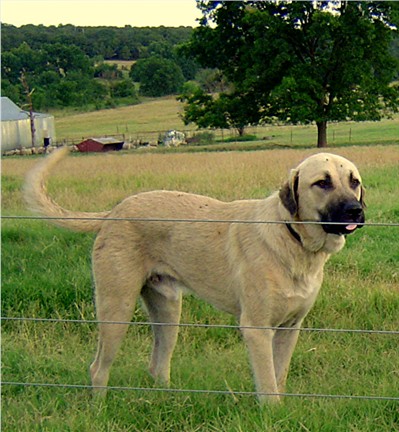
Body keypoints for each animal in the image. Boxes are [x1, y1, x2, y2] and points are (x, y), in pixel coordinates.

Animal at [23, 148, 366, 402]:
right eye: (322, 183)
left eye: (354, 181)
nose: (356, 211)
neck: (293, 238)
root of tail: (114, 211)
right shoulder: (257, 329)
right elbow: (267, 384)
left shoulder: (290, 328)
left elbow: (278, 378)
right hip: (116, 309)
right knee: (98, 368)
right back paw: (99, 409)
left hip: (168, 312)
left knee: (157, 365)